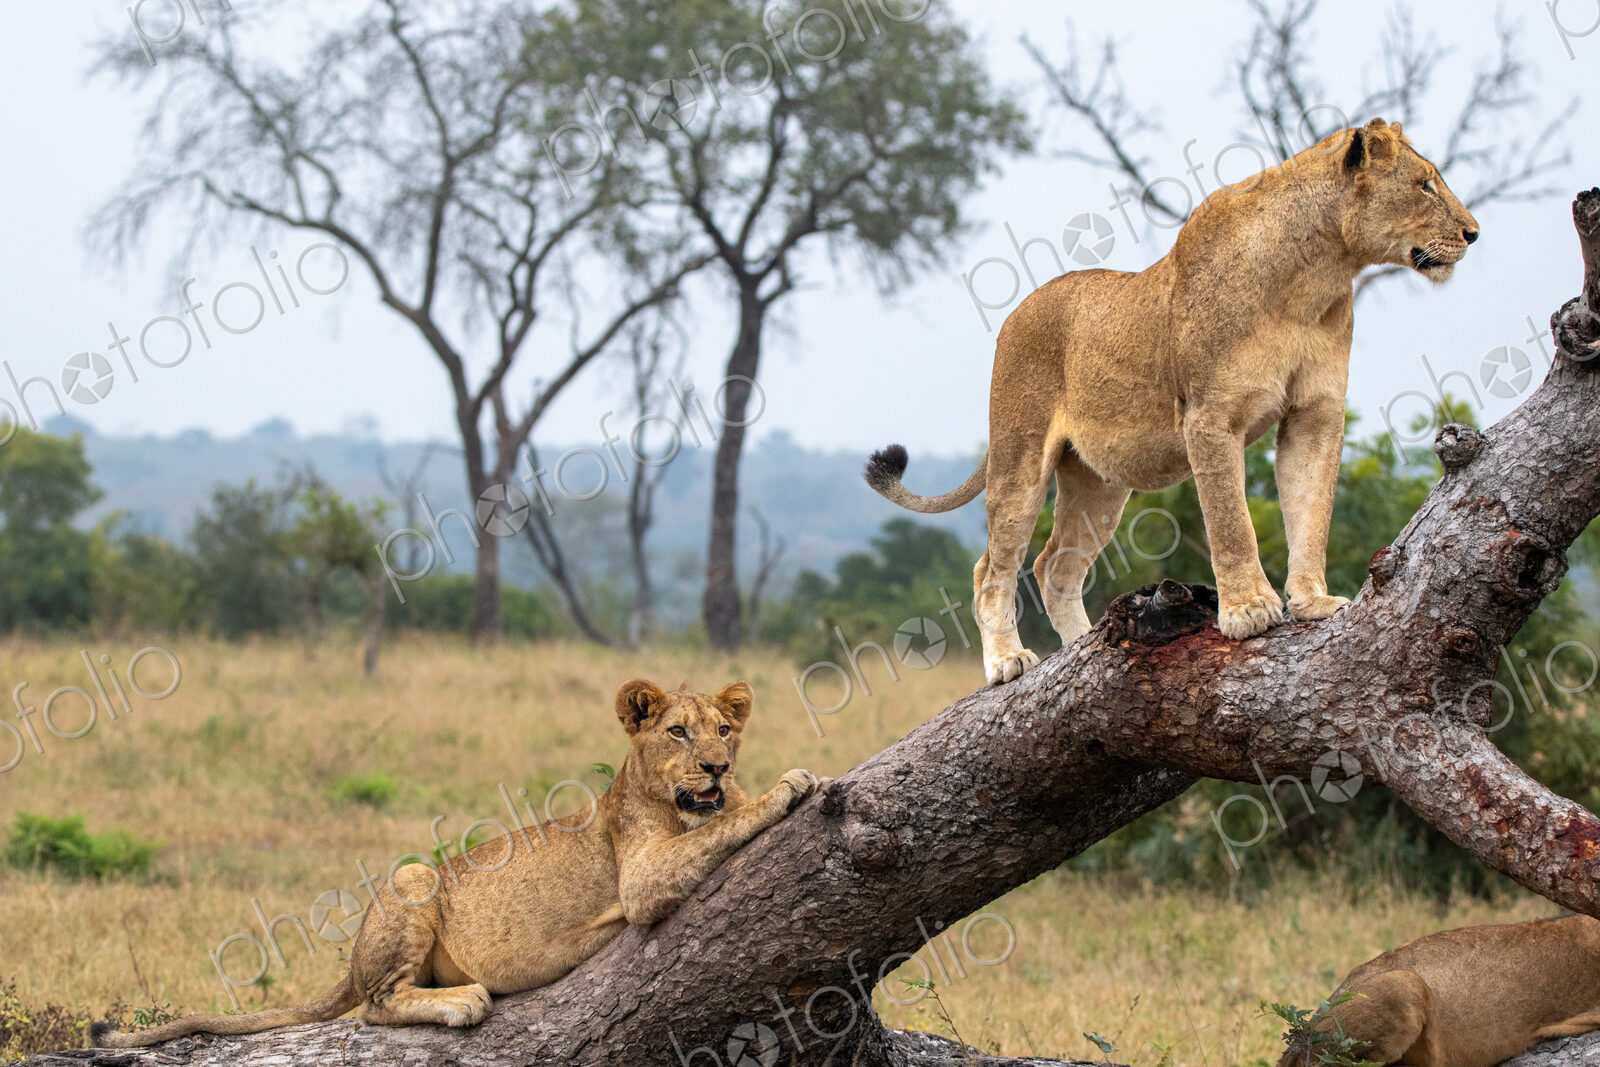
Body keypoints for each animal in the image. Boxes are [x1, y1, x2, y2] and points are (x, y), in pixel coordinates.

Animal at [91, 679, 819, 1048]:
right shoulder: (639, 879)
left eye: (724, 730)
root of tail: (352, 961)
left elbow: (724, 815)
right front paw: (791, 782)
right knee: (375, 1006)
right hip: (412, 879)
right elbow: (726, 821)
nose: (717, 765)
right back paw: (462, 1000)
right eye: (677, 732)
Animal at [866, 118, 1480, 685]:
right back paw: (1006, 662)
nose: (1474, 233)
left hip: (1098, 483)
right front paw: (1250, 610)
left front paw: (1312, 602)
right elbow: (1230, 520)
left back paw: (1082, 645)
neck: (1316, 275)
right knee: (991, 566)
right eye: (1426, 185)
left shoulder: (1315, 414)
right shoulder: (1209, 416)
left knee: (1053, 565)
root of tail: (1017, 313)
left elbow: (1312, 512)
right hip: (1019, 457)